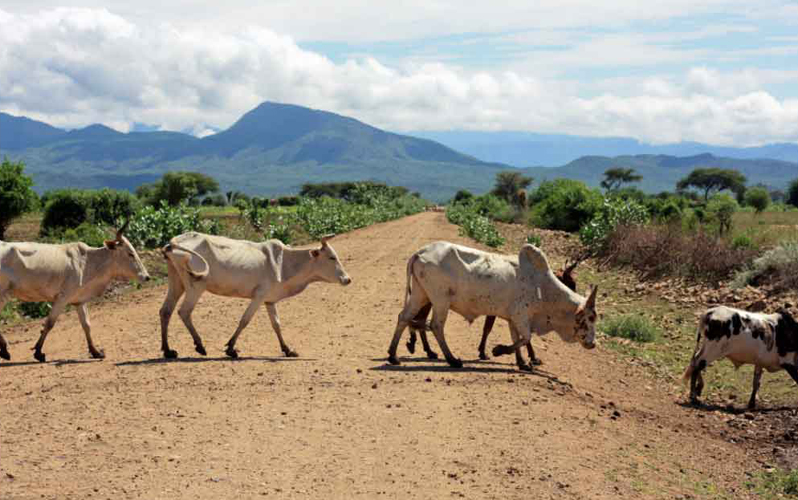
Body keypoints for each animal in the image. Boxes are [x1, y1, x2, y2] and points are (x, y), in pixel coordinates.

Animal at [0, 225, 149, 362]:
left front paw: (95, 352)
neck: (88, 262)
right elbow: (49, 324)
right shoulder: (62, 298)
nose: (147, 277)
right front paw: (38, 352)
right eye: (130, 254)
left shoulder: (79, 301)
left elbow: (86, 325)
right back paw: (5, 350)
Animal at [161, 232, 352, 358]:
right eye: (331, 257)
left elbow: (276, 324)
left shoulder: (269, 300)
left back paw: (168, 350)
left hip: (176, 283)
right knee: (184, 312)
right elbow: (244, 320)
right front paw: (231, 348)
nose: (347, 279)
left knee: (166, 311)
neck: (285, 263)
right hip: (196, 286)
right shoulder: (259, 296)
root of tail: (174, 241)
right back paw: (199, 345)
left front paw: (287, 349)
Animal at [388, 242, 600, 372]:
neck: (544, 288)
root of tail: (420, 253)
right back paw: (451, 359)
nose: (592, 344)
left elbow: (517, 338)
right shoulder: (521, 315)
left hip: (420, 294)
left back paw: (393, 355)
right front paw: (498, 350)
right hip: (440, 300)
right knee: (435, 325)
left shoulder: (513, 318)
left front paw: (522, 363)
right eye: (589, 318)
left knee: (404, 317)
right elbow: (526, 338)